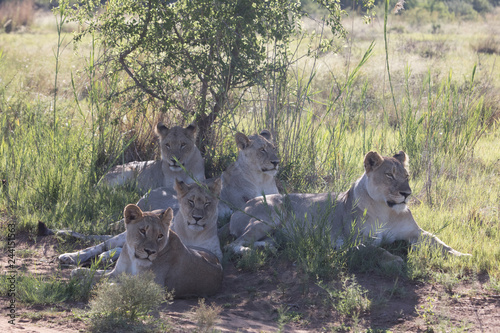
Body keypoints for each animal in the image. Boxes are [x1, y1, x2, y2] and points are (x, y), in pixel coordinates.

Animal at [58, 178, 223, 264]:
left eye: (207, 203)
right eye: (191, 201)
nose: (197, 218)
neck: (192, 233)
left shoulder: (217, 255)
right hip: (119, 236)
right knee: (100, 246)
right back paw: (72, 256)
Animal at [75, 204, 221, 296]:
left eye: (160, 236)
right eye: (143, 231)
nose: (150, 252)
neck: (133, 258)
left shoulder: (156, 288)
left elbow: (116, 284)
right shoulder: (116, 272)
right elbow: (96, 275)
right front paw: (79, 274)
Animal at [227, 150, 468, 264]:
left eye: (406, 176)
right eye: (389, 176)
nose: (407, 194)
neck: (387, 211)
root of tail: (243, 206)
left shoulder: (416, 233)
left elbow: (439, 242)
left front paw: (462, 254)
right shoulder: (354, 241)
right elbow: (377, 249)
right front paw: (395, 259)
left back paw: (268, 247)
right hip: (268, 217)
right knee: (234, 244)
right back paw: (252, 252)